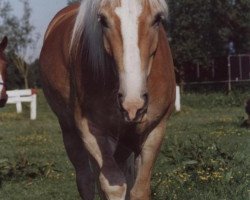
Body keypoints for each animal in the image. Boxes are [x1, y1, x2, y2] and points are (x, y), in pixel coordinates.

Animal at [39, 0, 176, 199]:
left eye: (158, 18)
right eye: (103, 20)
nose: (133, 105)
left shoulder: (156, 130)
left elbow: (139, 189)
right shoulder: (91, 131)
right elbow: (113, 186)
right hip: (70, 132)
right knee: (86, 180)